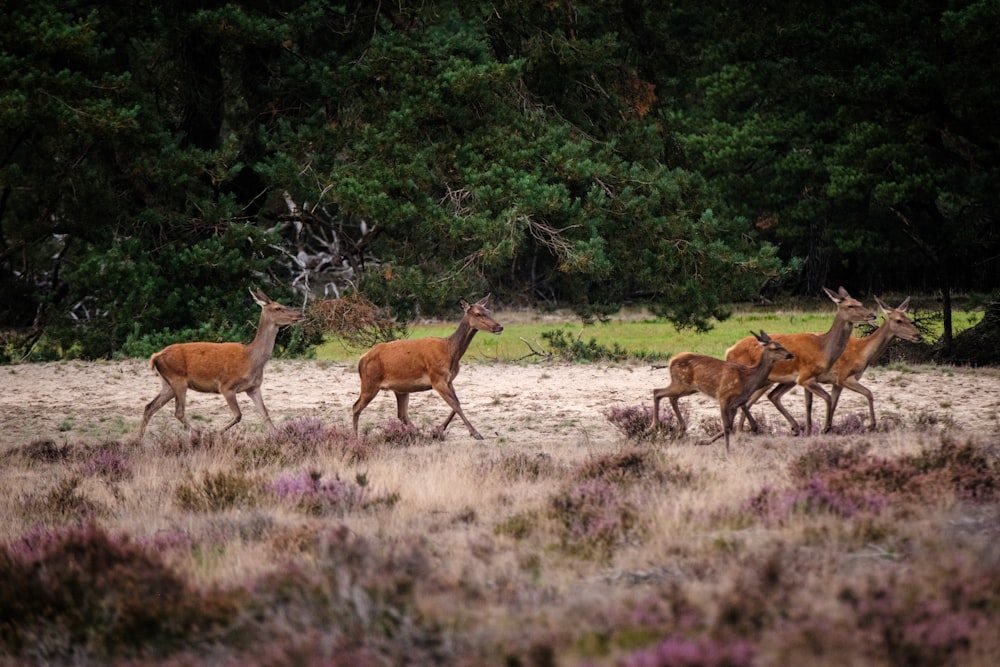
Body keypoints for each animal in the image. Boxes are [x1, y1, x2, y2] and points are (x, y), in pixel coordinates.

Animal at [136, 288, 304, 438]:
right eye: (278, 308)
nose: (300, 314)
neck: (251, 360)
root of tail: (155, 356)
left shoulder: (254, 388)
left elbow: (265, 415)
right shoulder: (226, 386)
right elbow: (238, 415)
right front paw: (216, 433)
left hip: (167, 384)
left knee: (149, 407)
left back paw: (139, 440)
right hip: (177, 380)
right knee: (178, 412)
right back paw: (198, 433)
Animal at [354, 294, 508, 440]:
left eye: (488, 311)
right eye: (478, 313)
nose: (499, 327)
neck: (450, 352)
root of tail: (361, 360)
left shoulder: (448, 380)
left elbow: (457, 403)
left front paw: (438, 429)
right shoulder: (437, 378)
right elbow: (456, 405)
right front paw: (476, 433)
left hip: (400, 388)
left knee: (401, 414)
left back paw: (418, 433)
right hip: (370, 383)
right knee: (356, 407)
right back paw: (355, 437)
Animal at [648, 330, 796, 454]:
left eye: (782, 345)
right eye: (775, 347)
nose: (790, 354)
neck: (747, 379)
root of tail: (671, 360)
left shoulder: (735, 404)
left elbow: (730, 426)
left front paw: (703, 441)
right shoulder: (723, 397)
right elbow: (726, 426)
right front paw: (727, 450)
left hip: (688, 388)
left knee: (670, 397)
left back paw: (679, 430)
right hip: (681, 383)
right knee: (657, 392)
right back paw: (653, 427)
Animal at [720, 284, 876, 436]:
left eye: (860, 302)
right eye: (850, 305)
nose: (872, 315)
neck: (823, 349)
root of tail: (728, 351)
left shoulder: (807, 379)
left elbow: (810, 404)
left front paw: (810, 430)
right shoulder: (805, 376)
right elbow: (827, 398)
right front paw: (825, 428)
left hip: (778, 381)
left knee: (767, 397)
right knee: (745, 400)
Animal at [800, 296, 924, 428]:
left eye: (909, 319)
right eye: (898, 320)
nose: (918, 336)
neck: (862, 353)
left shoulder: (837, 382)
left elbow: (833, 405)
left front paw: (828, 428)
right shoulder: (844, 376)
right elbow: (869, 393)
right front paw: (872, 425)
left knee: (808, 404)